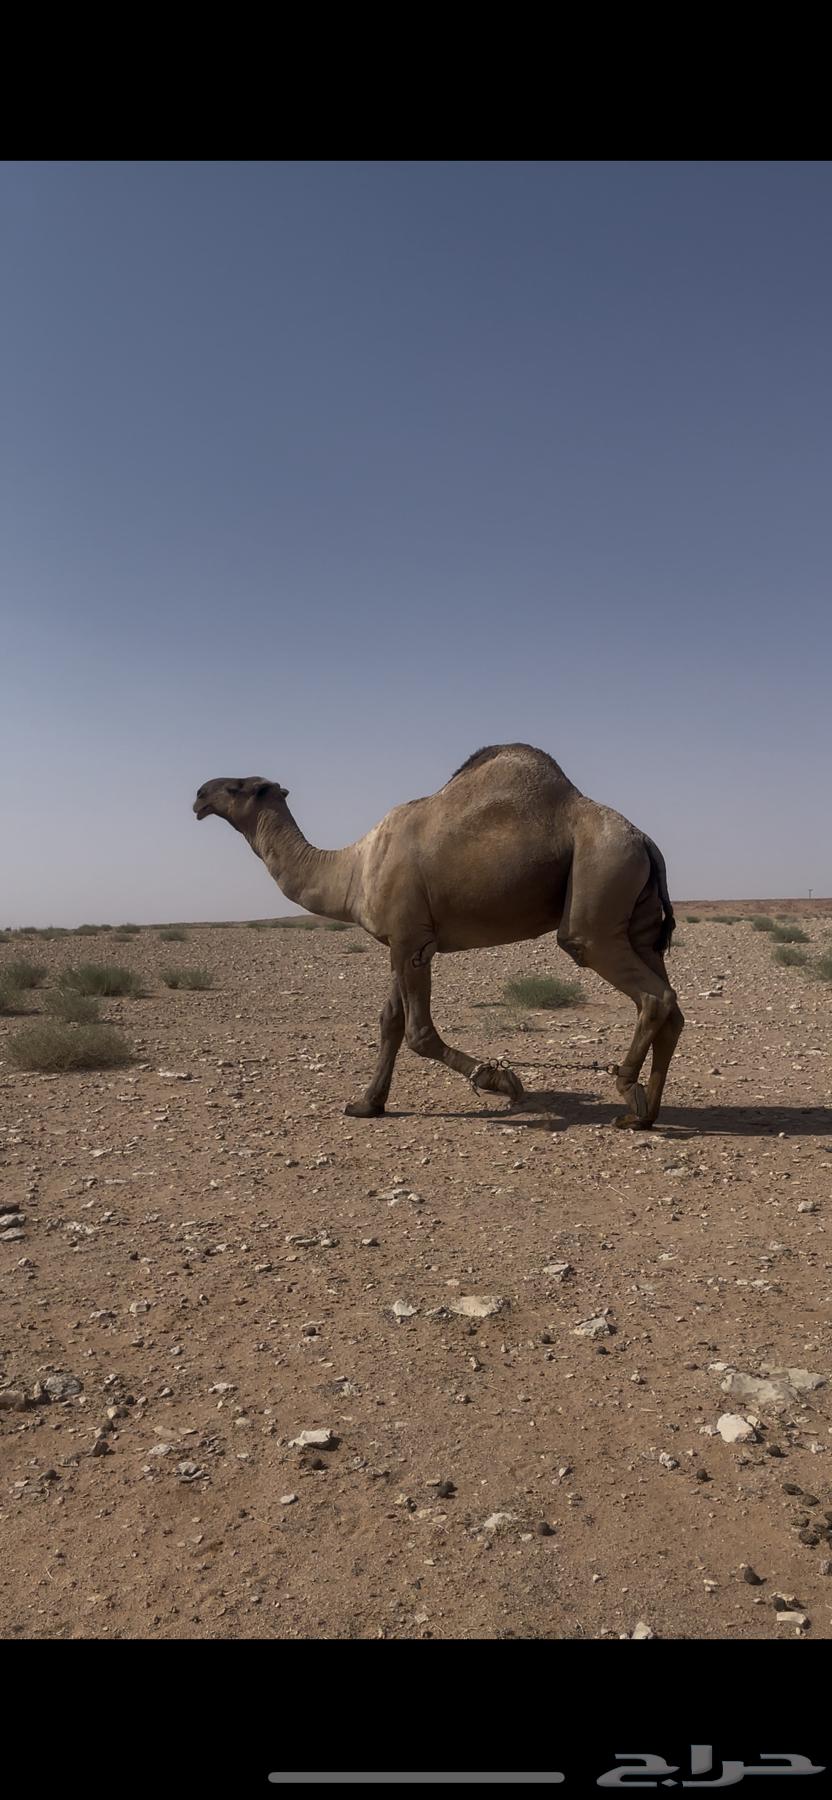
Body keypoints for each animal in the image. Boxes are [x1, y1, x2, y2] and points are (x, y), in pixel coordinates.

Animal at [193, 744, 684, 1128]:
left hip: (599, 882)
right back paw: (644, 1115)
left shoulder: (412, 941)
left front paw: (502, 1080)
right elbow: (389, 1022)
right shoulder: (401, 940)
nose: (198, 795)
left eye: (237, 787)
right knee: (671, 1004)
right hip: (634, 918)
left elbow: (419, 1033)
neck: (353, 870)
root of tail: (645, 840)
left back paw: (628, 1091)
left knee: (643, 988)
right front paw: (366, 1104)